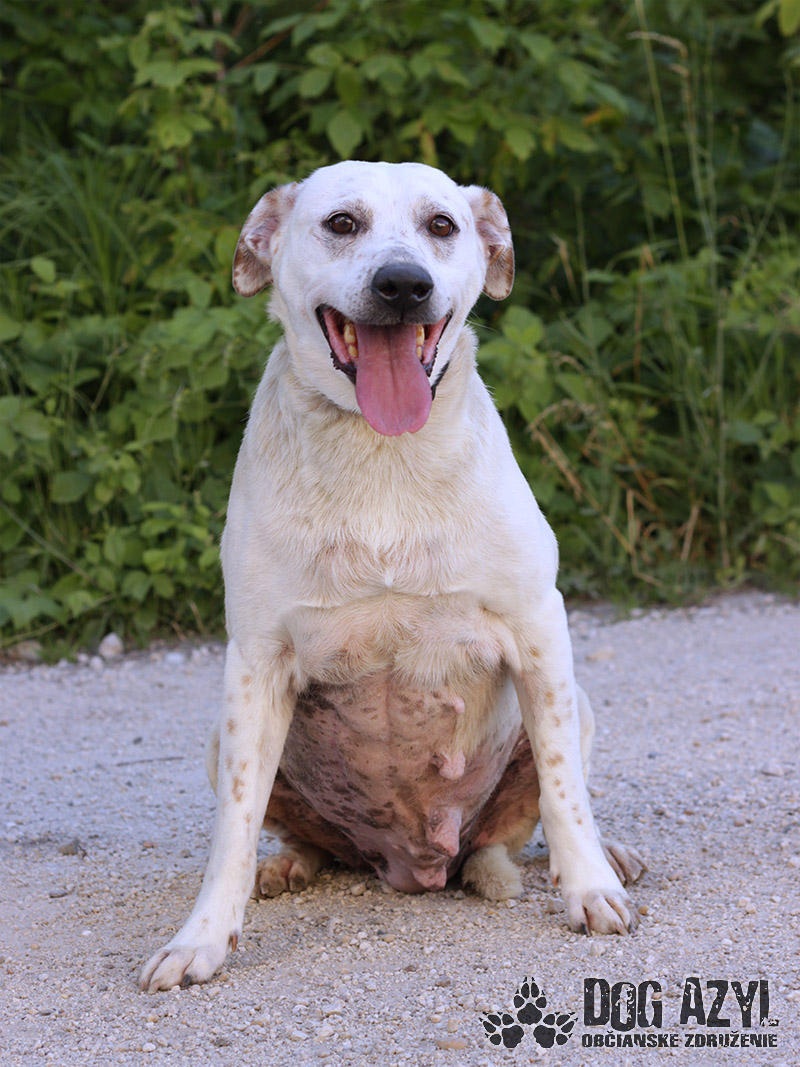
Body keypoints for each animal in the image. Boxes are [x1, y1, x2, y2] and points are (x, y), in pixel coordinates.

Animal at [140, 161, 644, 992]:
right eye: (342, 223)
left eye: (442, 225)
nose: (404, 284)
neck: (381, 450)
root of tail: (416, 861)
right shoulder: (255, 664)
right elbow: (233, 829)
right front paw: (202, 937)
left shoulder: (540, 628)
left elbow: (565, 790)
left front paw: (589, 887)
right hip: (222, 740)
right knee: (304, 839)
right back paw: (289, 865)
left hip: (580, 705)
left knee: (530, 818)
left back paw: (607, 857)